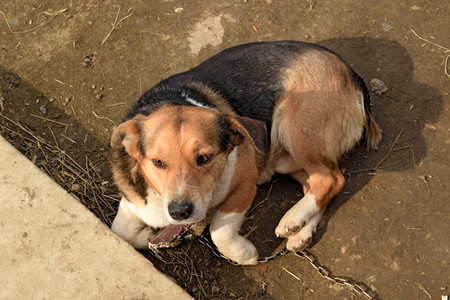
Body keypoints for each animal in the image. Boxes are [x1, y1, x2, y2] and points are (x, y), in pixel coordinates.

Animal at [109, 39, 380, 264]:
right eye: (157, 162)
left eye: (204, 158)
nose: (179, 211)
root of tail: (352, 75)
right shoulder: (133, 202)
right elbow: (120, 230)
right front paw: (147, 236)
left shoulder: (245, 184)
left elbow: (220, 229)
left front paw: (245, 255)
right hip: (288, 160)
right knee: (320, 184)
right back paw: (300, 231)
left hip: (296, 127)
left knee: (332, 179)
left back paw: (292, 219)